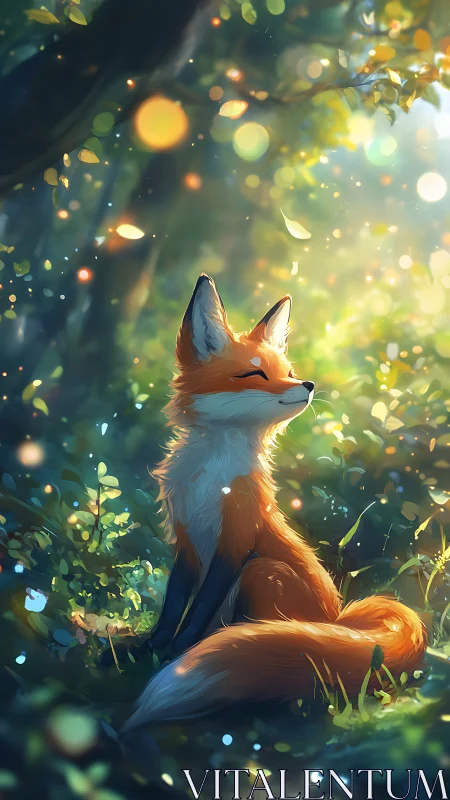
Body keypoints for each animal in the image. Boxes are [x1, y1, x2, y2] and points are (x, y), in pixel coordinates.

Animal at [123, 273, 426, 727]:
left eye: (289, 372)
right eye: (255, 373)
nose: (308, 385)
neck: (211, 480)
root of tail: (338, 618)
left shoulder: (237, 537)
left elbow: (197, 609)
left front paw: (177, 652)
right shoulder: (187, 541)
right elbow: (174, 604)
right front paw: (150, 649)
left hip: (261, 572)